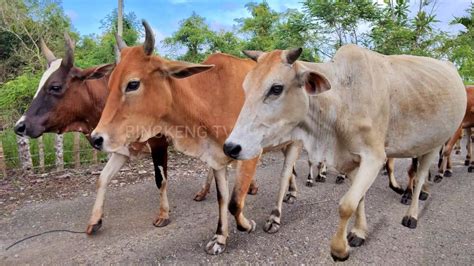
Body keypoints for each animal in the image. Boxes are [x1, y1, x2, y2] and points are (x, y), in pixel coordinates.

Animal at [90, 20, 302, 254]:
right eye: (109, 85)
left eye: (133, 84)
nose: (96, 139)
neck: (209, 98)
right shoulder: (217, 157)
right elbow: (222, 199)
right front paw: (220, 237)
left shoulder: (250, 155)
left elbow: (235, 202)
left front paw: (248, 225)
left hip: (296, 141)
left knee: (284, 174)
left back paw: (276, 215)